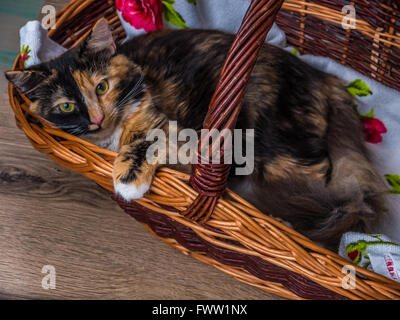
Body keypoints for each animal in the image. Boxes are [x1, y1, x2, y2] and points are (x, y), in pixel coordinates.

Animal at [5, 18, 388, 249]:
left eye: (102, 87)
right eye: (67, 106)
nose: (97, 118)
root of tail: (325, 79)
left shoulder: (177, 130)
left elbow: (143, 139)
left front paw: (128, 179)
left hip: (275, 145)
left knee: (332, 191)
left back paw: (289, 225)